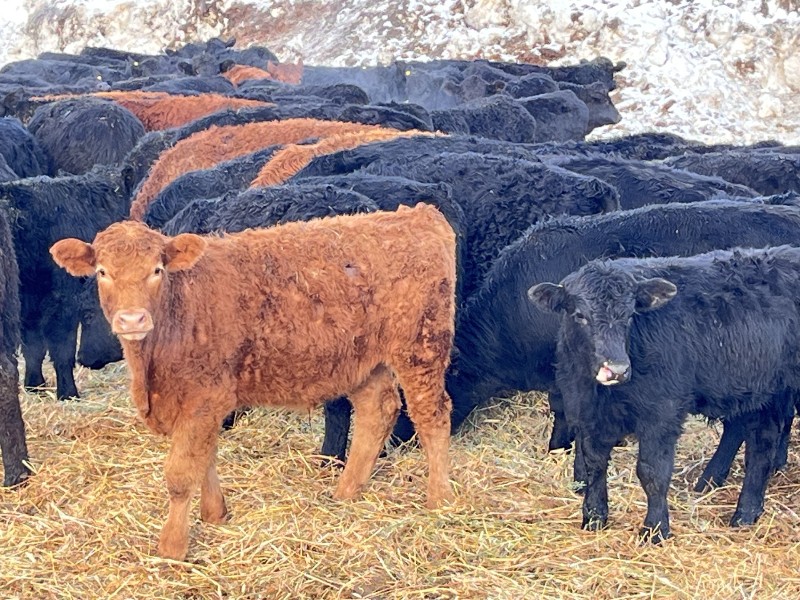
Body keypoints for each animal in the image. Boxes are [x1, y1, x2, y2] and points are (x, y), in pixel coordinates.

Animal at [51, 204, 457, 560]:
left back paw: (439, 500)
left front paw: (172, 547)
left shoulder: (203, 398)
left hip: (421, 346)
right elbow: (205, 458)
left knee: (432, 416)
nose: (132, 319)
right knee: (379, 411)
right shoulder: (203, 405)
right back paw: (346, 491)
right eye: (103, 272)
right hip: (364, 361)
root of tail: (418, 215)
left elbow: (181, 472)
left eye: (157, 270)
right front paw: (215, 513)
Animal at [528, 245, 800, 541]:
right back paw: (739, 507)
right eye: (579, 315)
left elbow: (652, 472)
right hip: (762, 393)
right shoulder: (584, 409)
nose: (617, 369)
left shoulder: (661, 413)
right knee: (759, 443)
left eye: (630, 314)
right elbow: (594, 464)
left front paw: (656, 528)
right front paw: (594, 517)